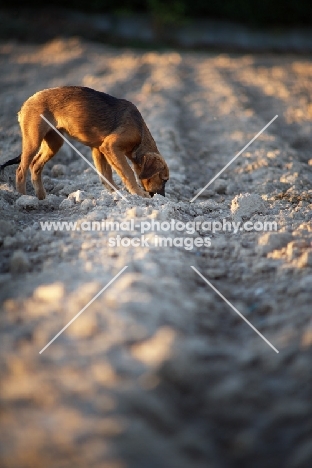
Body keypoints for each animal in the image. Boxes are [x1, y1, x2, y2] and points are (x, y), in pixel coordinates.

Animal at [9, 86, 168, 199]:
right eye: (164, 179)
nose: (162, 197)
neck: (140, 132)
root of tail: (25, 104)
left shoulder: (99, 149)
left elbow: (106, 175)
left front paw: (117, 194)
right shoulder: (111, 146)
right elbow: (128, 172)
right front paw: (138, 194)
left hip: (54, 142)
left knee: (35, 165)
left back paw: (41, 198)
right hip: (33, 141)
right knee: (21, 170)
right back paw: (22, 198)